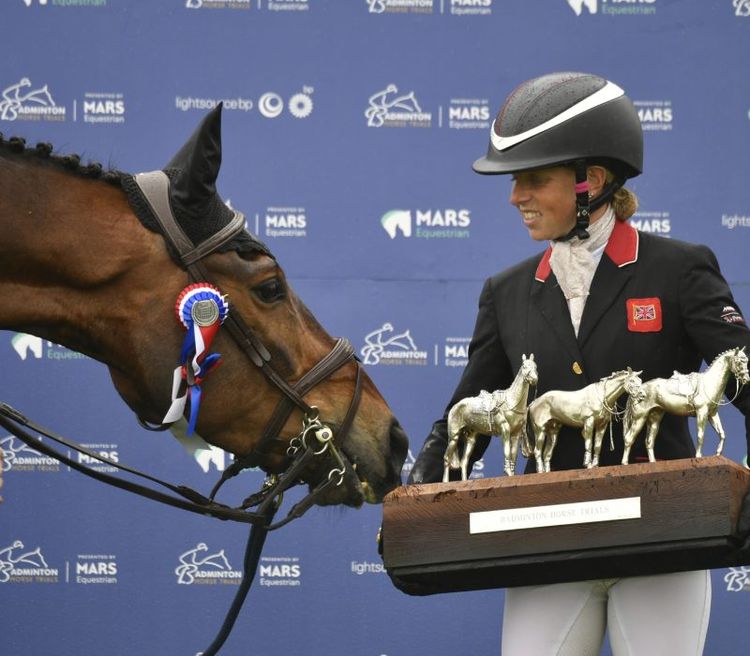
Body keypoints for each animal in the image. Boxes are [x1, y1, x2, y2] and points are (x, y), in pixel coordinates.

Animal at [440, 352, 540, 480]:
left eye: (535, 366)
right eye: (524, 366)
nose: (534, 379)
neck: (511, 401)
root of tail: (455, 406)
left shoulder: (516, 434)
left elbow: (513, 455)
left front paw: (512, 474)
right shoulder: (505, 430)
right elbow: (507, 452)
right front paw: (508, 472)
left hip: (471, 439)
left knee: (464, 462)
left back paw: (464, 481)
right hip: (454, 437)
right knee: (447, 458)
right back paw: (445, 481)